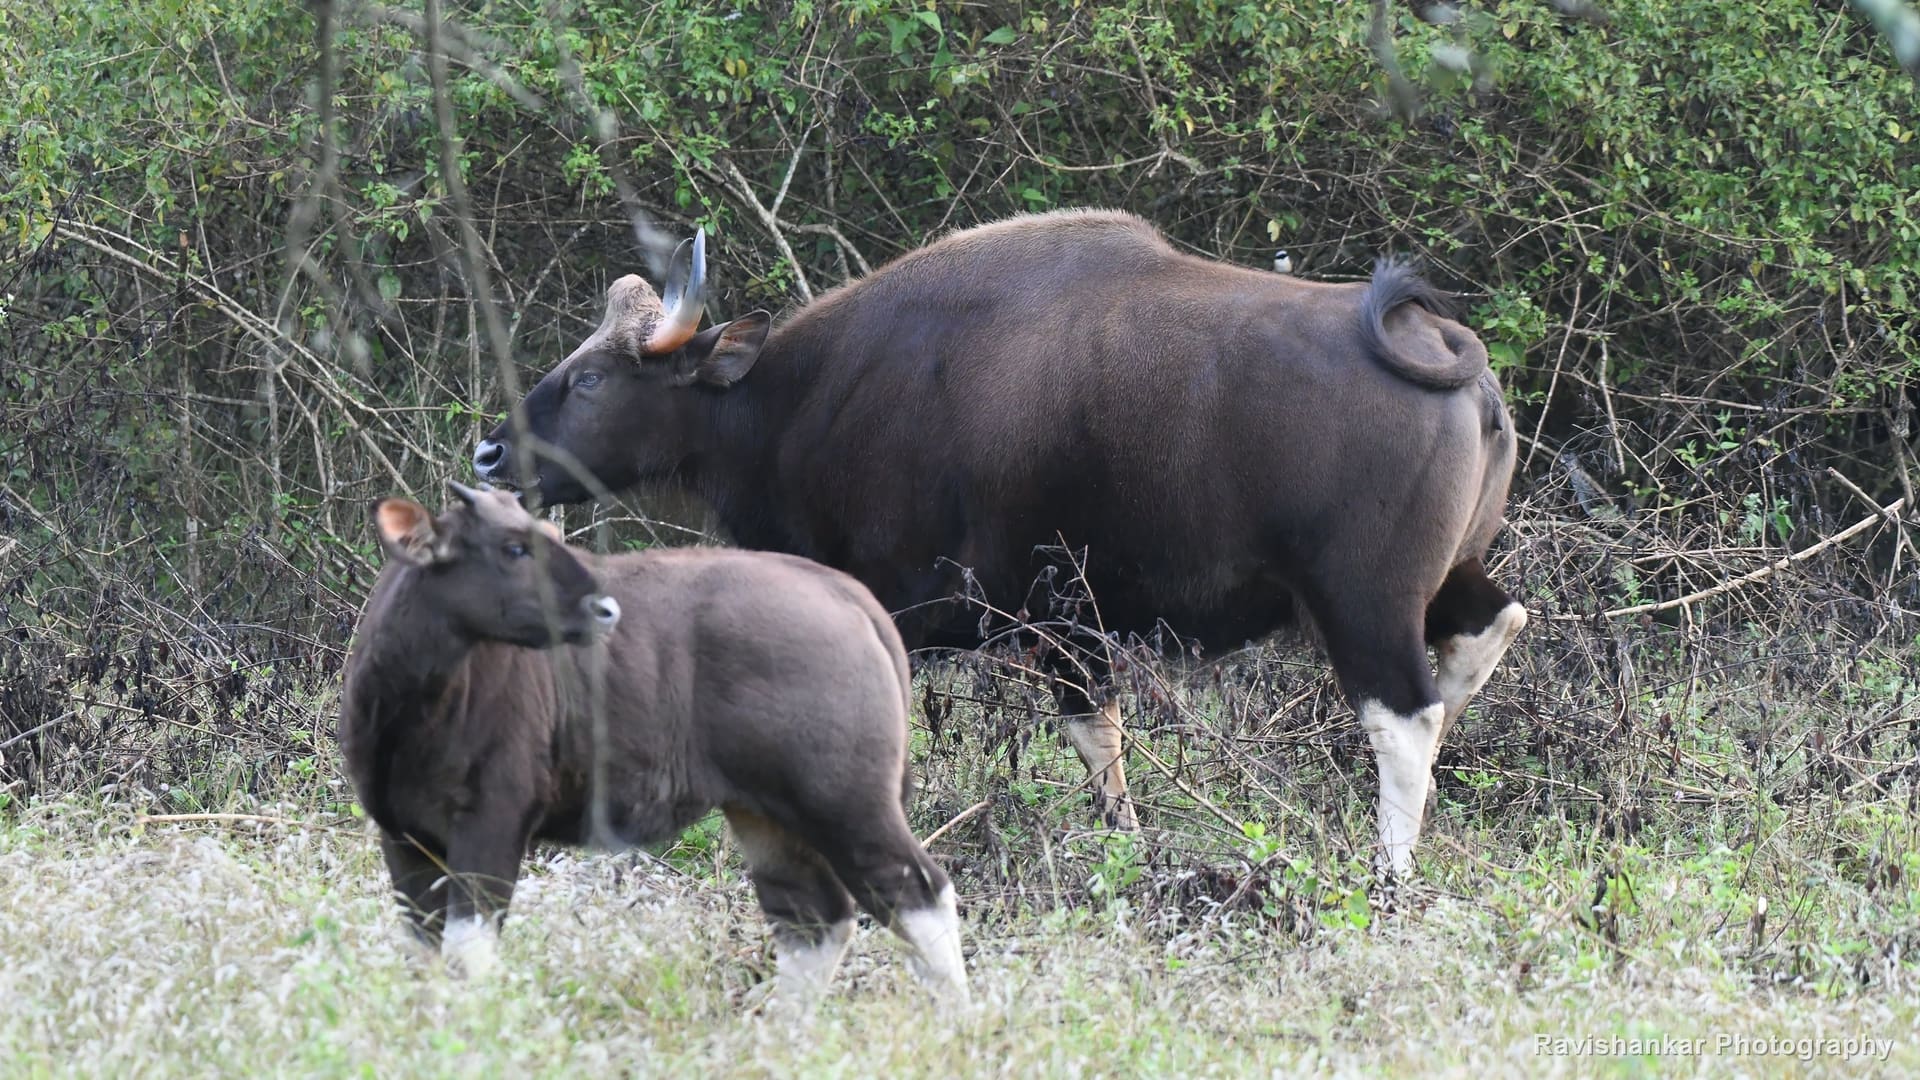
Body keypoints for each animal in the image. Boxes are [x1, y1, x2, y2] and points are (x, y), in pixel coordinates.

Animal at [338, 481, 967, 1005]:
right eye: (514, 548)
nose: (604, 607)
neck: (411, 713)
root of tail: (843, 591)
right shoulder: (403, 835)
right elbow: (423, 956)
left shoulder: (494, 819)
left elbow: (466, 955)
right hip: (766, 811)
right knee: (812, 918)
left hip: (846, 800)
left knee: (920, 893)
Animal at [472, 209, 1528, 878]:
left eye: (593, 379)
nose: (489, 451)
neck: (803, 403)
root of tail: (1452, 354)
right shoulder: (1071, 624)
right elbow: (1098, 736)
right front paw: (1124, 848)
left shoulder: (920, 604)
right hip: (1446, 575)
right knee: (1491, 629)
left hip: (1362, 597)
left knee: (1403, 716)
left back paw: (1389, 871)